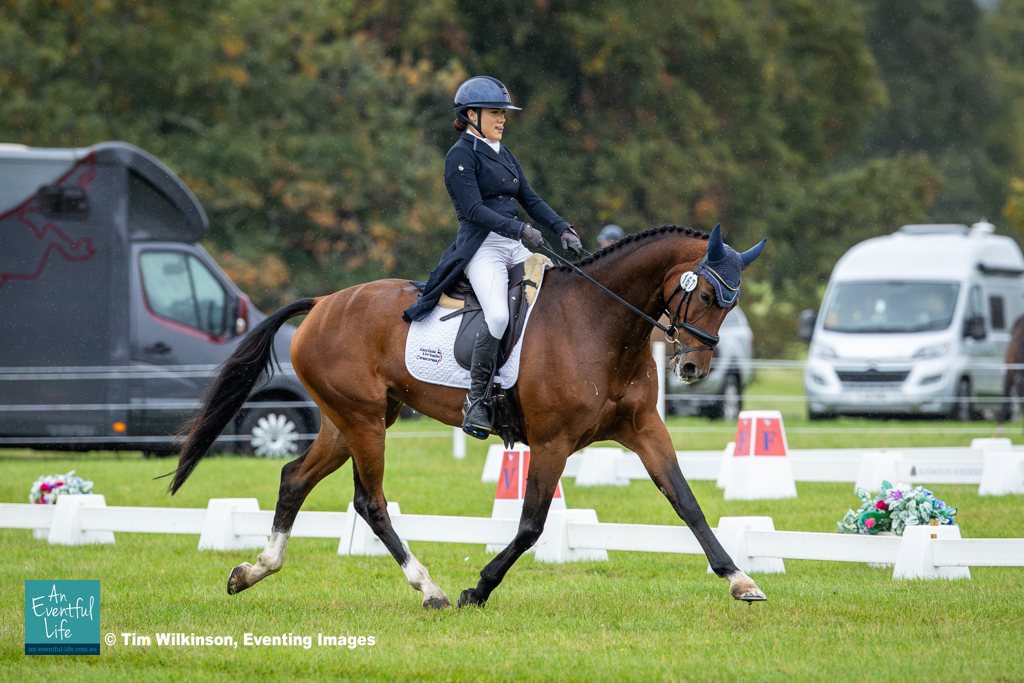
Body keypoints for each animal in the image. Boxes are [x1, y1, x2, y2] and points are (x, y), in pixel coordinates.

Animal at [168, 224, 769, 609]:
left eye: (733, 303)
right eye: (707, 293)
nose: (692, 367)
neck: (600, 322)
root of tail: (321, 304)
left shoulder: (644, 428)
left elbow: (686, 501)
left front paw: (739, 579)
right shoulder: (551, 442)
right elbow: (530, 525)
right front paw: (476, 590)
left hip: (349, 421)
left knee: (294, 478)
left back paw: (252, 571)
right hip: (363, 422)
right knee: (370, 502)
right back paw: (429, 589)